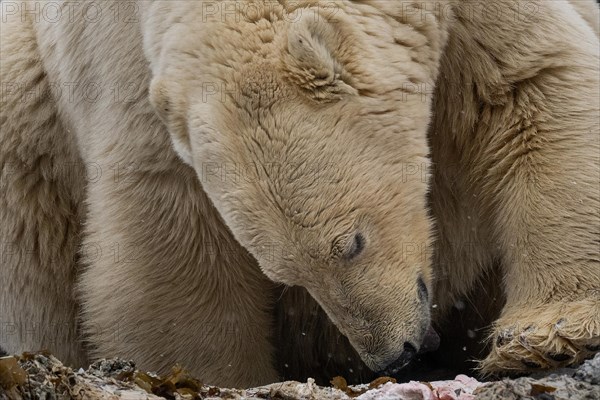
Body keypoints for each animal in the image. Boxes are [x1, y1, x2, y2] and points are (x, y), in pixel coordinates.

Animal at [0, 0, 596, 388]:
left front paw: (545, 339)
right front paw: (220, 378)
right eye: (287, 274)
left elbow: (531, 90)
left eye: (351, 242)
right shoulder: (134, 77)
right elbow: (172, 240)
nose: (392, 356)